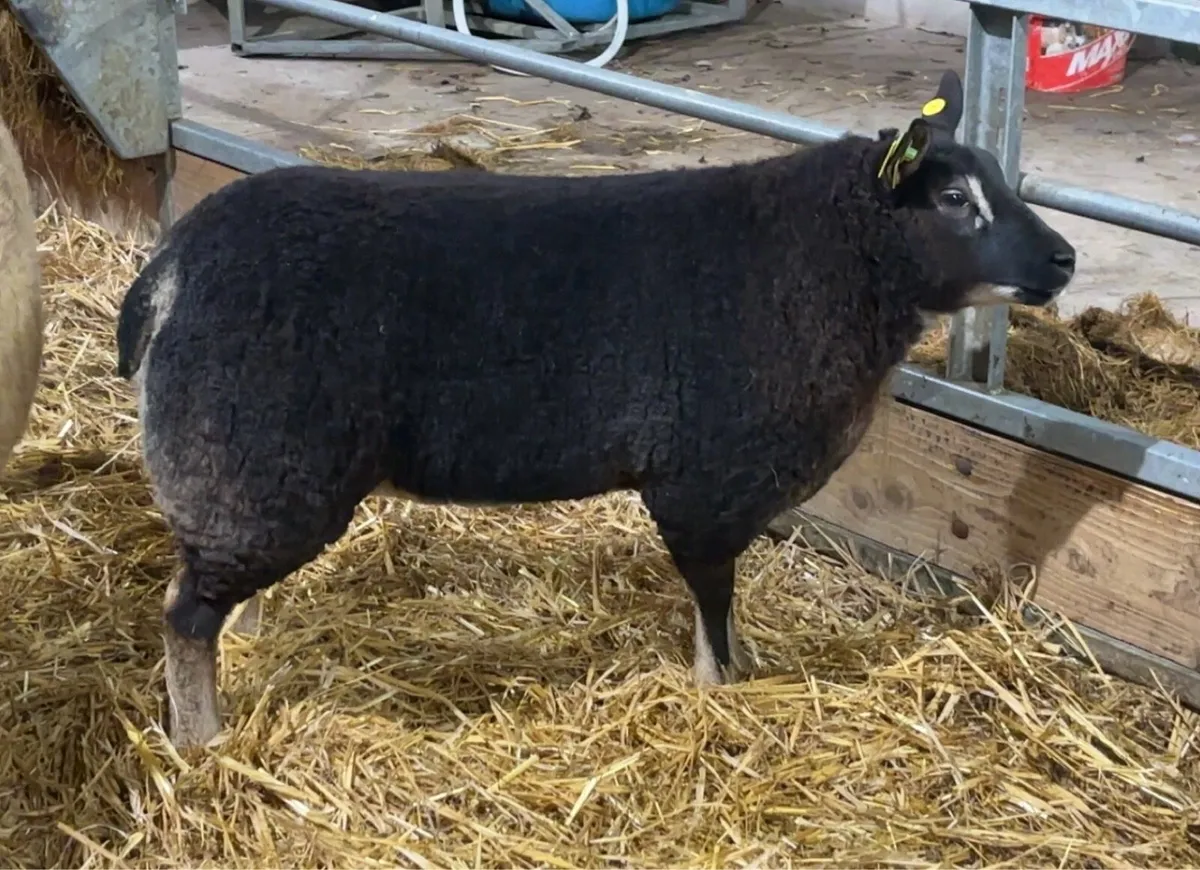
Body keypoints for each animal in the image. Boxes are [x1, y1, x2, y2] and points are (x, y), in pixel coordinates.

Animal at [116, 69, 1077, 749]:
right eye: (952, 200)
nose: (1065, 259)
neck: (825, 260)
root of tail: (171, 272)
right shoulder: (703, 485)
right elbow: (714, 609)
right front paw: (723, 692)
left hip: (249, 479)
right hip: (252, 464)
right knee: (183, 615)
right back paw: (202, 742)